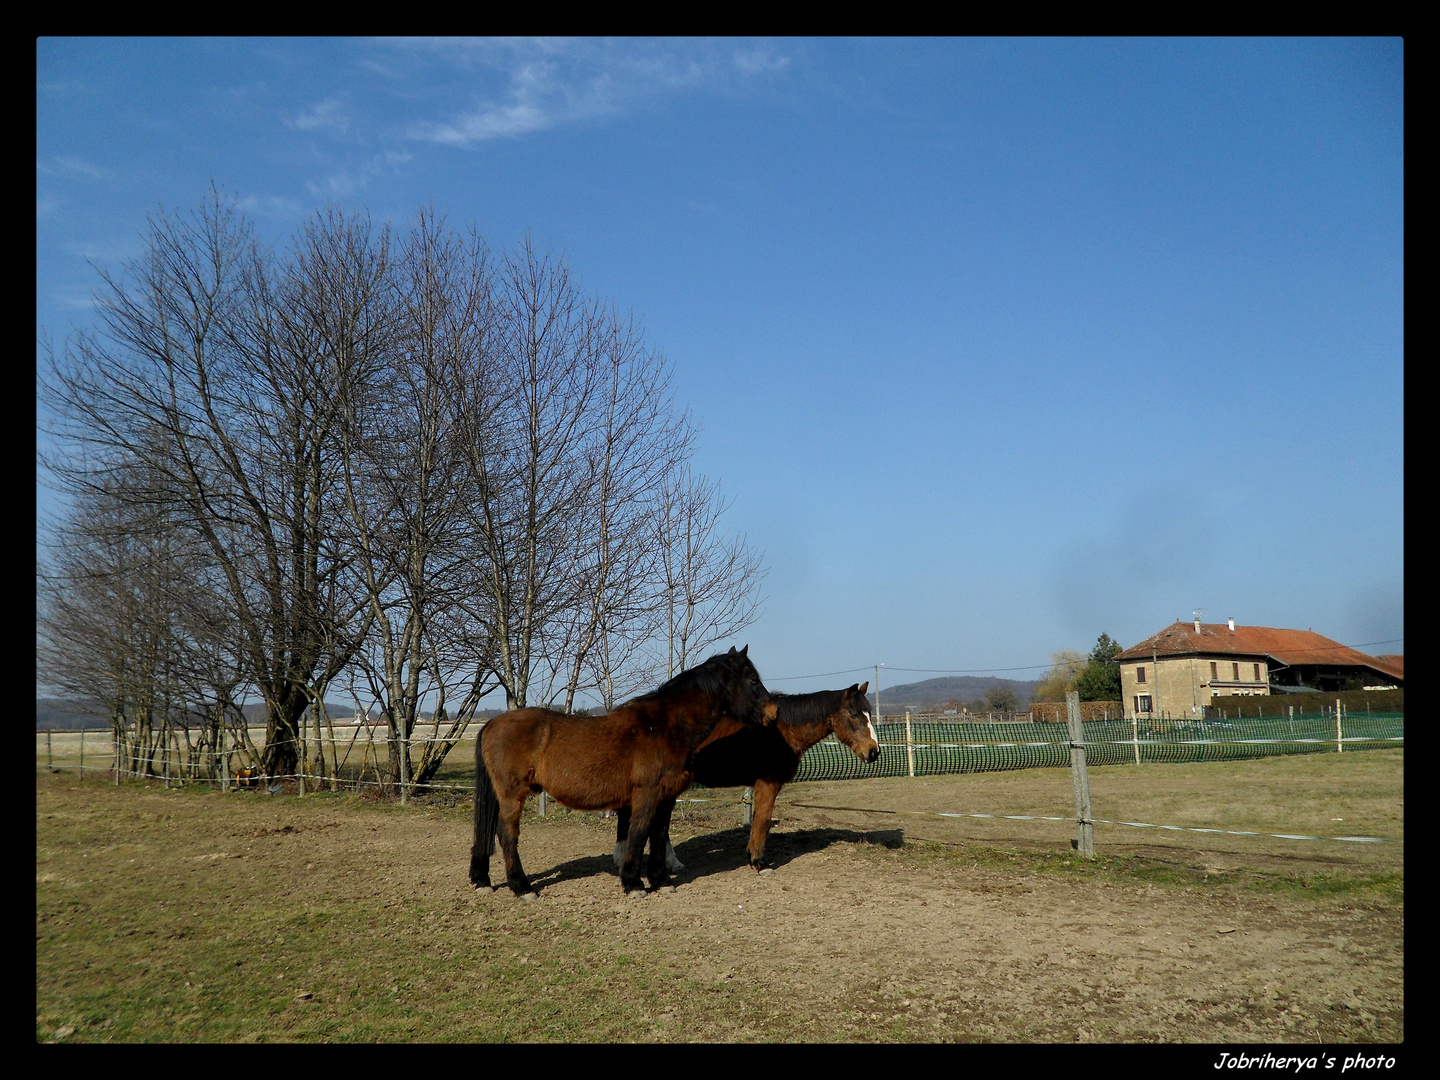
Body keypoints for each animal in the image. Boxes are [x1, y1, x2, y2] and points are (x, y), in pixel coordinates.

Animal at [469, 648, 777, 898]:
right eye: (752, 679)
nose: (773, 712)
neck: (665, 726)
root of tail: (491, 724)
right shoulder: (646, 795)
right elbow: (638, 835)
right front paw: (633, 883)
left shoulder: (666, 797)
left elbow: (659, 836)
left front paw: (661, 881)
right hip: (513, 795)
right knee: (507, 834)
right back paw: (522, 888)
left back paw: (483, 880)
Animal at [610, 685, 875, 881]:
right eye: (853, 715)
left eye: (870, 714)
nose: (874, 752)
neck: (780, 732)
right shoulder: (768, 785)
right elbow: (763, 821)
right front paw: (760, 863)